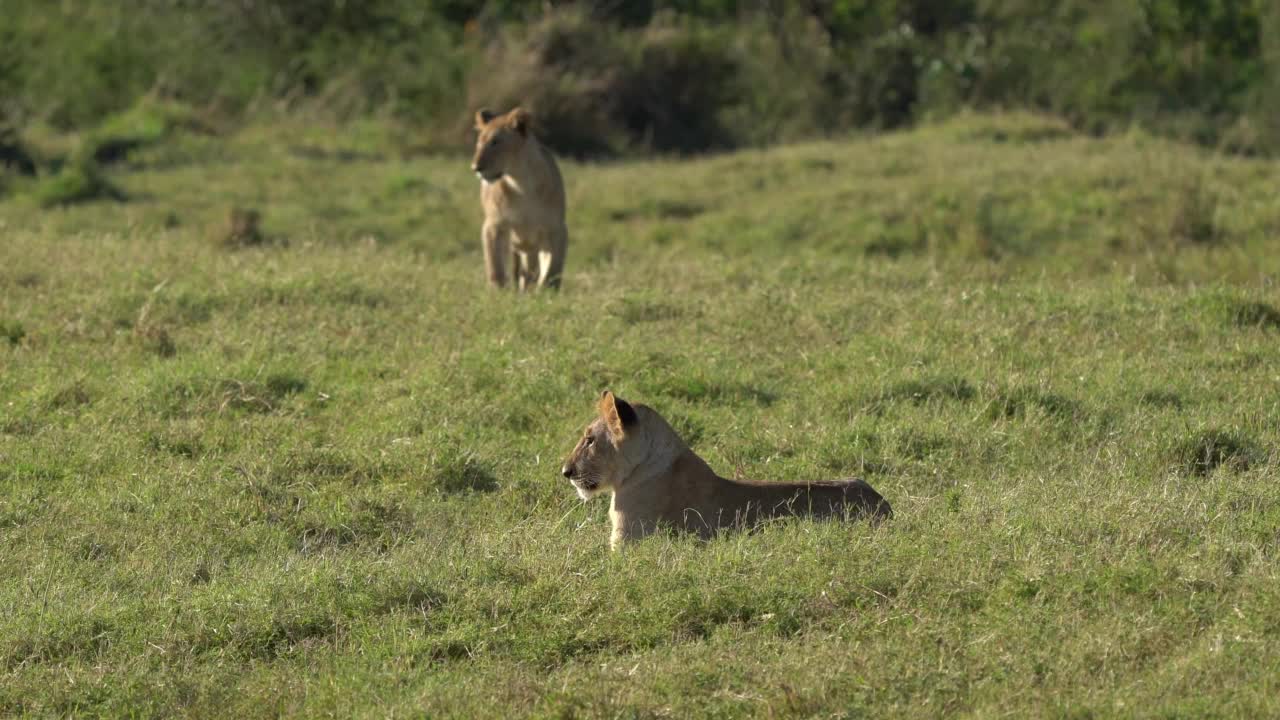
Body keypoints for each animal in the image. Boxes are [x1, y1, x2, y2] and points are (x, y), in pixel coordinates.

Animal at [473, 105, 568, 288]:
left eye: (495, 142)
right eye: (479, 142)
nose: (475, 167)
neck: (521, 183)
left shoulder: (555, 229)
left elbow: (552, 269)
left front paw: (546, 292)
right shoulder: (494, 225)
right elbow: (495, 267)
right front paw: (498, 293)